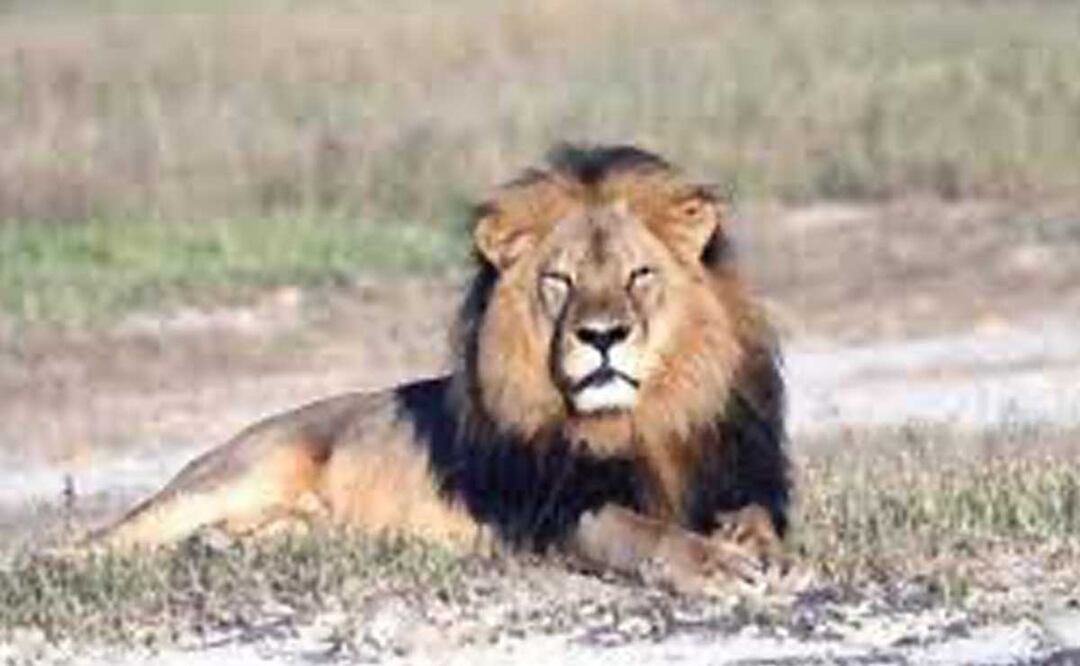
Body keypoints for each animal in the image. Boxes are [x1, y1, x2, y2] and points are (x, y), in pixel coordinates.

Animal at [92, 144, 791, 592]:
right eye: (559, 281)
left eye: (638, 275)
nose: (602, 336)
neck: (641, 420)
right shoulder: (558, 511)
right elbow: (643, 533)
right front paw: (717, 567)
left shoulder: (734, 472)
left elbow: (757, 515)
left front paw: (753, 544)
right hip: (238, 472)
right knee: (101, 539)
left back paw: (220, 546)